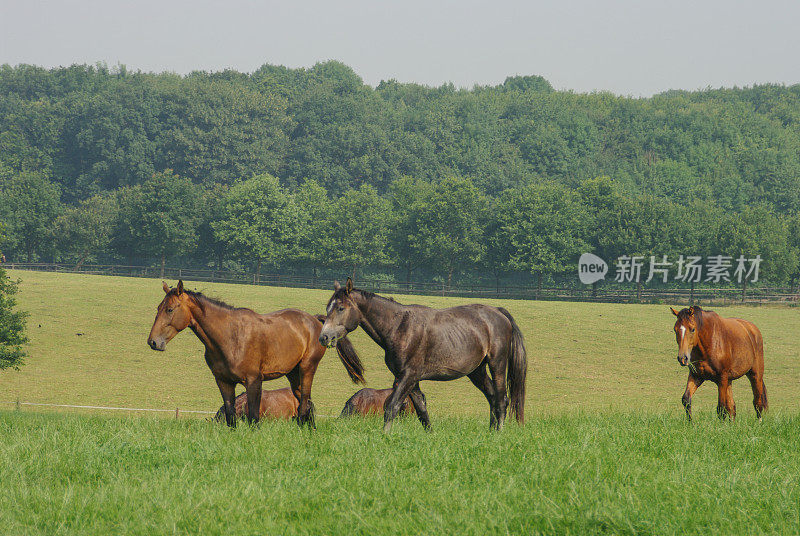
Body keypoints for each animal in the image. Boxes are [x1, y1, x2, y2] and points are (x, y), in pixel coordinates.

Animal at [148, 280, 366, 428]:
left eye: (170, 309)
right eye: (158, 308)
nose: (153, 342)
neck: (230, 336)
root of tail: (315, 320)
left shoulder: (253, 381)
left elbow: (253, 416)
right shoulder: (224, 382)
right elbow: (230, 416)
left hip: (307, 368)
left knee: (305, 400)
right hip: (293, 374)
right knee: (305, 403)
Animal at [316, 278, 528, 434]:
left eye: (341, 308)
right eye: (327, 308)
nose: (324, 337)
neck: (400, 327)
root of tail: (499, 312)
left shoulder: (408, 376)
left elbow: (391, 406)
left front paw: (385, 436)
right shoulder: (410, 379)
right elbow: (421, 410)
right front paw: (430, 436)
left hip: (497, 364)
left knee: (501, 399)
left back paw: (498, 432)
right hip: (477, 371)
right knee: (492, 396)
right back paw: (490, 431)